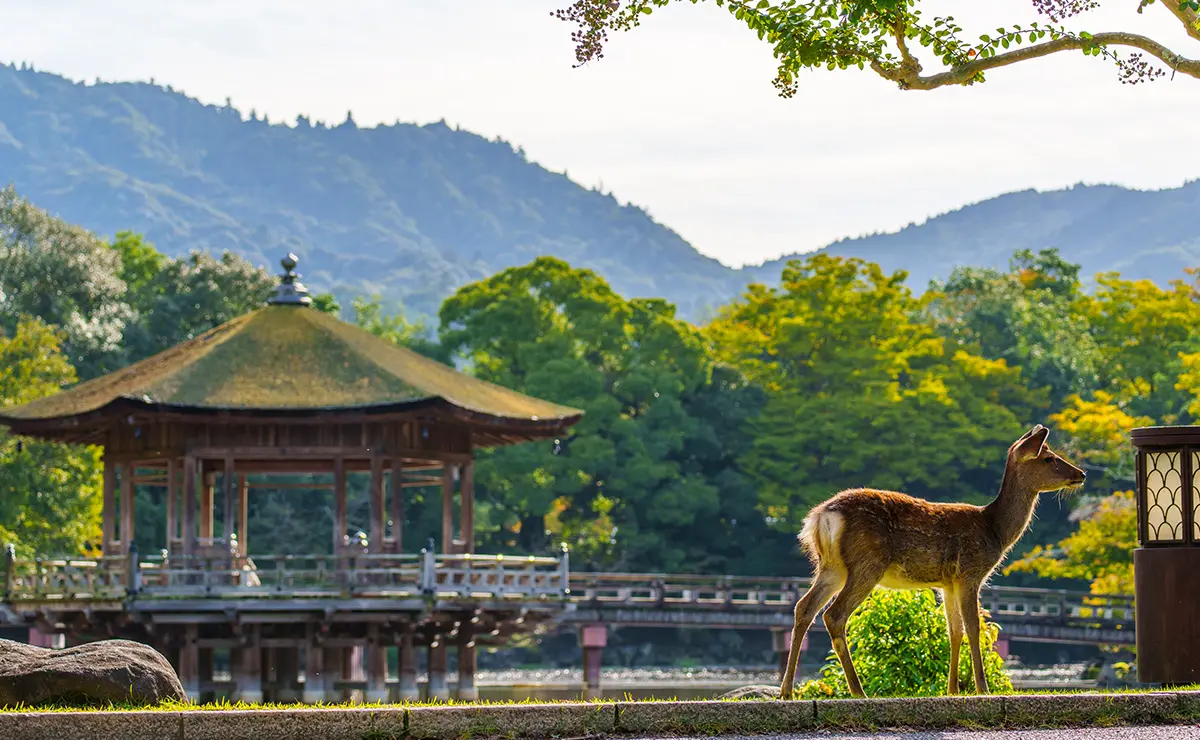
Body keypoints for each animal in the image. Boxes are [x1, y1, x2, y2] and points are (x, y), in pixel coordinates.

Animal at [777, 424, 1089, 695]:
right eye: (1049, 458)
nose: (1082, 474)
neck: (995, 529)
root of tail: (821, 517)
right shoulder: (970, 573)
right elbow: (974, 628)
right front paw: (982, 688)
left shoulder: (947, 583)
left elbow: (954, 631)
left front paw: (952, 690)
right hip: (867, 563)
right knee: (834, 614)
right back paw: (857, 690)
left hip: (831, 566)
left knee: (804, 607)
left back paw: (787, 691)